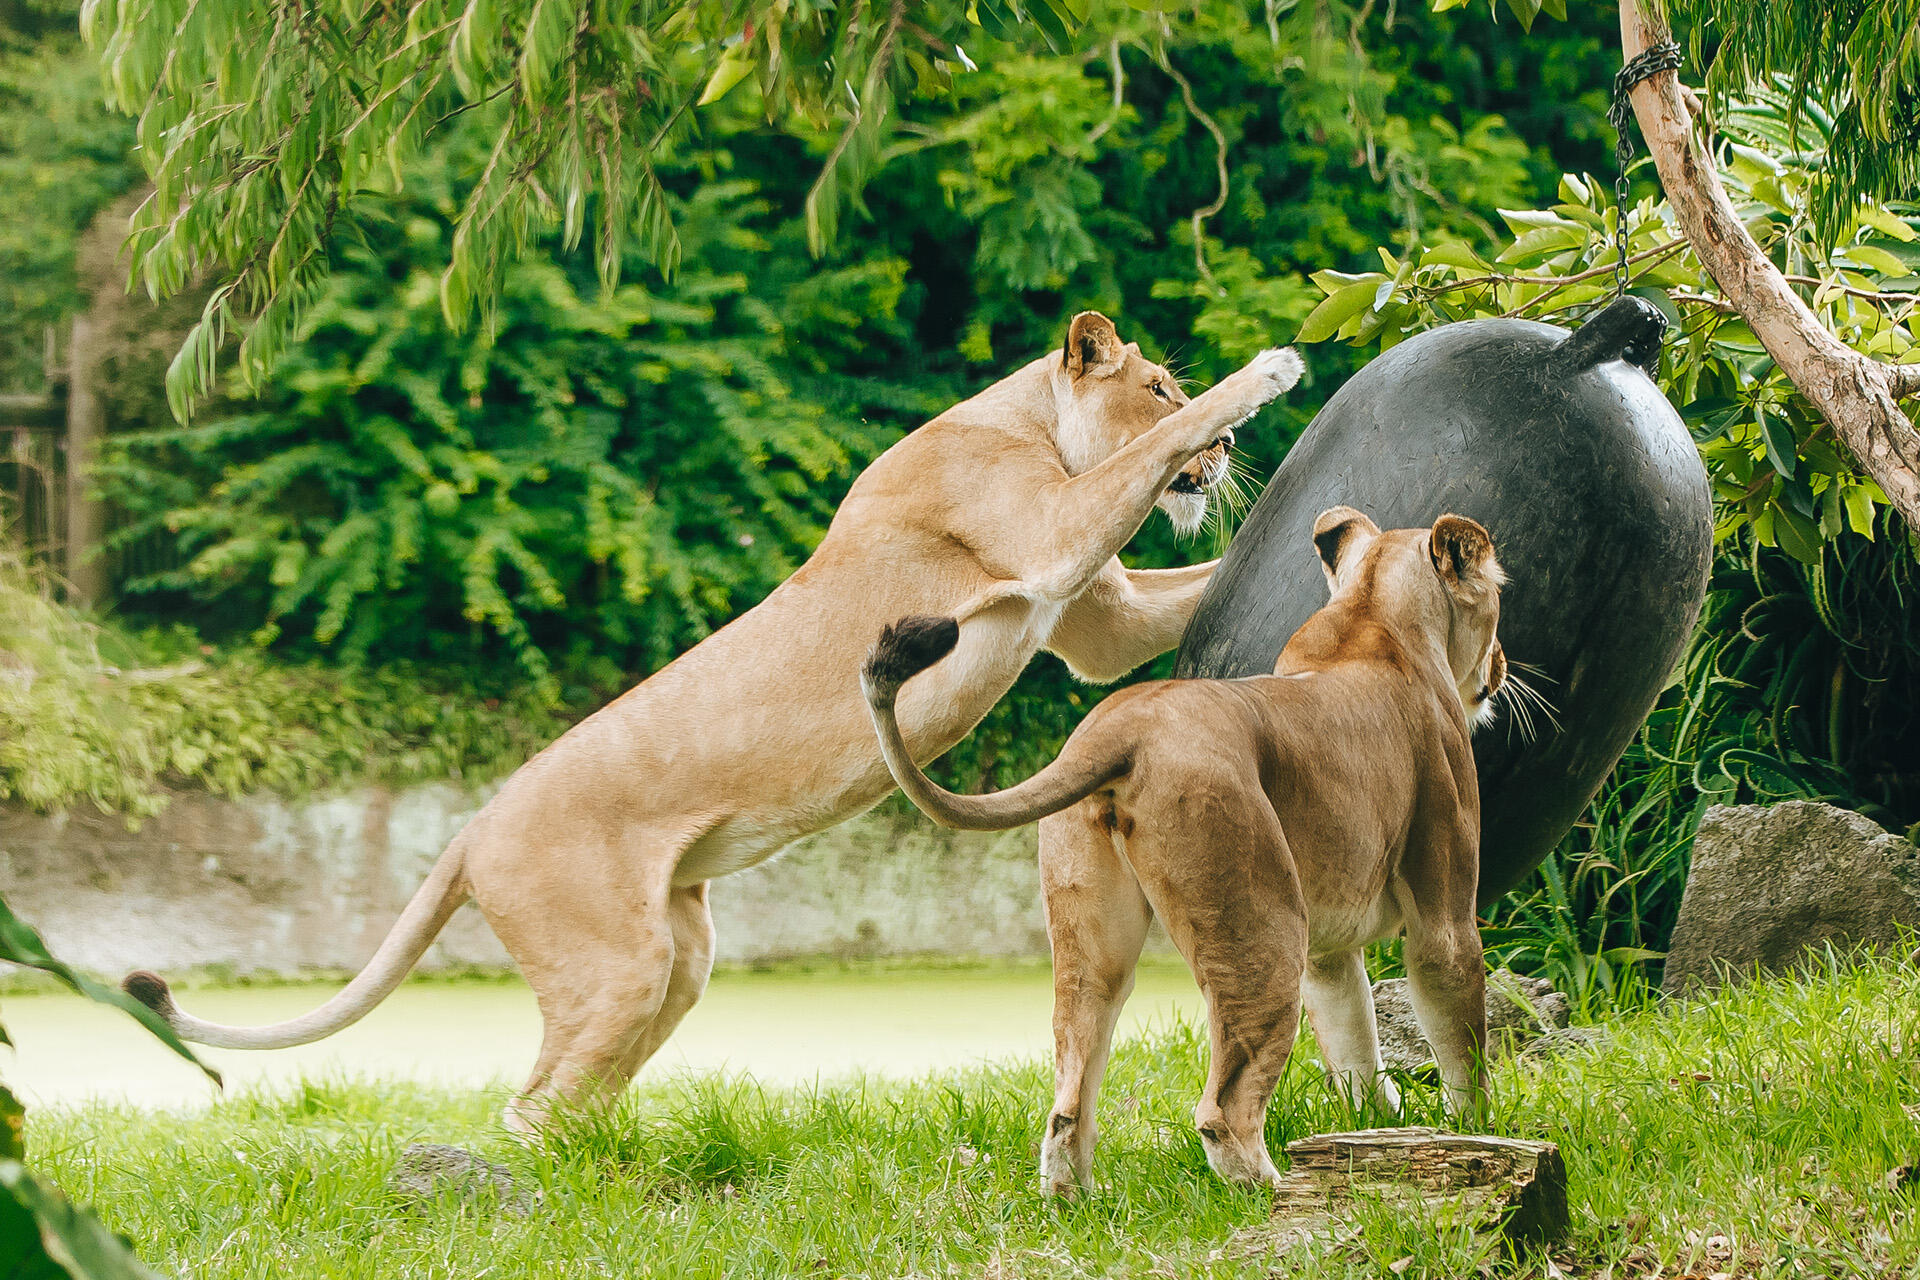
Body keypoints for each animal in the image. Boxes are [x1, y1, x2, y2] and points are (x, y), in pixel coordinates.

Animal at [124, 312, 1305, 1131]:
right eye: (1156, 383)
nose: (1223, 469)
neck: (1026, 421)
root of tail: (470, 825)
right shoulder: (1052, 533)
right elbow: (1145, 462)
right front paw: (1269, 374)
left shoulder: (1097, 620)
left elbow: (1189, 586)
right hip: (620, 965)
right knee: (528, 1108)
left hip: (677, 955)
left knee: (571, 1094)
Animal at [861, 507, 1507, 1191]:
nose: (1501, 662)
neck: (1372, 612)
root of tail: (1118, 730)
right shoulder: (1442, 918)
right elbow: (1460, 1038)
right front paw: (1475, 1131)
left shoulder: (1329, 953)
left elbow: (1355, 1042)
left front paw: (1376, 1131)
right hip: (1264, 924)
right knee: (1223, 1108)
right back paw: (1276, 1193)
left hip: (1094, 943)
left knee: (1069, 1095)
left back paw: (1082, 1202)